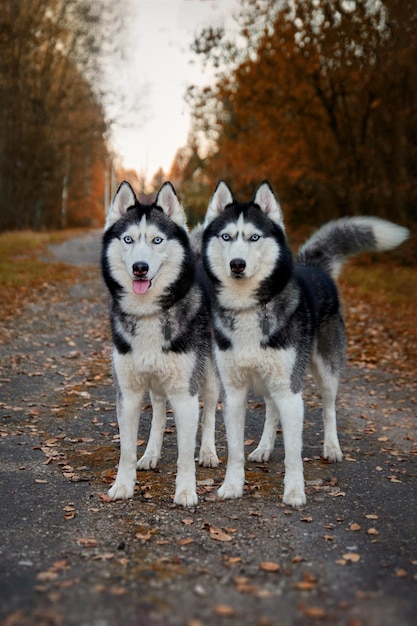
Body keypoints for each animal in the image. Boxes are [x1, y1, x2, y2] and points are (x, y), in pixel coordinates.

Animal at [101, 179, 218, 502]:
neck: (150, 313)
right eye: (128, 240)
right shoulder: (128, 393)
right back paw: (151, 454)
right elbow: (126, 450)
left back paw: (209, 452)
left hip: (210, 375)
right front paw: (123, 485)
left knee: (211, 411)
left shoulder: (185, 393)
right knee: (158, 415)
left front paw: (186, 491)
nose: (140, 267)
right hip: (155, 382)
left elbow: (184, 453)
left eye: (157, 240)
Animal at [200, 180, 408, 508]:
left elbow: (294, 453)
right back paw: (263, 448)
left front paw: (295, 491)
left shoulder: (291, 392)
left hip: (324, 371)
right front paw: (232, 486)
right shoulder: (233, 392)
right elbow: (234, 450)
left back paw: (332, 447)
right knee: (271, 409)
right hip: (273, 380)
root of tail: (314, 266)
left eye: (254, 237)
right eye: (226, 237)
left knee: (328, 408)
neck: (249, 308)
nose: (237, 264)